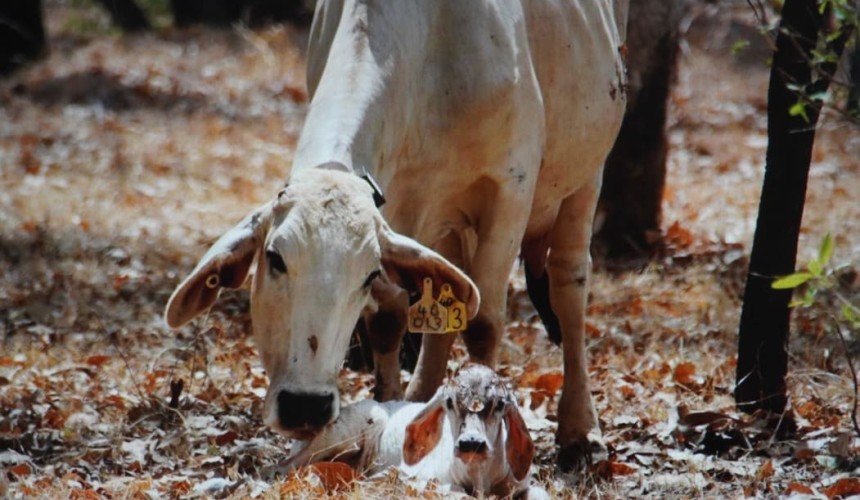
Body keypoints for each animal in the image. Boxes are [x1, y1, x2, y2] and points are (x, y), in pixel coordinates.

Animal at [165, 0, 628, 469]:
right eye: (275, 259)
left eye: (367, 275)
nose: (305, 405)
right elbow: (390, 321)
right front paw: (393, 411)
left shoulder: (509, 189)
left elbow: (483, 324)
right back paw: (422, 398)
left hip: (588, 172)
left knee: (568, 283)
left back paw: (581, 431)